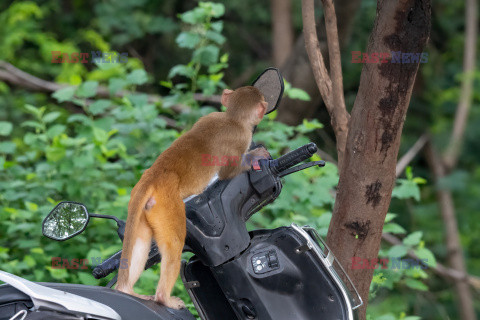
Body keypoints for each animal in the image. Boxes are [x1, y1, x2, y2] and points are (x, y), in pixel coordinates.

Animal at [116, 86, 270, 308]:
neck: (232, 118)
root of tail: (153, 176)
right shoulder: (242, 137)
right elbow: (229, 172)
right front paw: (255, 157)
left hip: (145, 210)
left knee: (142, 243)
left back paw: (127, 290)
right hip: (168, 204)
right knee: (174, 244)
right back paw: (163, 298)